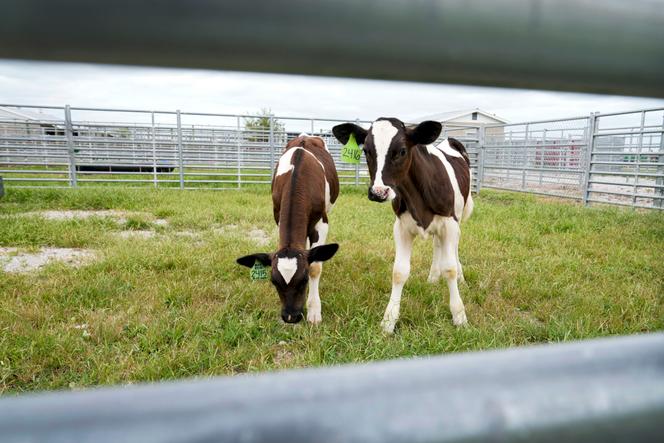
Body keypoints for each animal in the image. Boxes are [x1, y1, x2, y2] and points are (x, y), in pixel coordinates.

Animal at [236, 134, 340, 324]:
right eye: (273, 281)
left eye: (303, 280)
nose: (290, 316)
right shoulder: (277, 215)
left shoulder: (322, 222)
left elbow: (315, 266)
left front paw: (314, 311)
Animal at [332, 118, 472, 332]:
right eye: (366, 151)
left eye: (402, 151)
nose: (378, 192)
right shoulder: (401, 227)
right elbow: (399, 272)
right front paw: (388, 321)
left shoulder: (449, 223)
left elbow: (450, 269)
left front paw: (459, 316)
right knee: (437, 245)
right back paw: (433, 277)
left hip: (458, 217)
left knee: (454, 248)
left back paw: (461, 279)